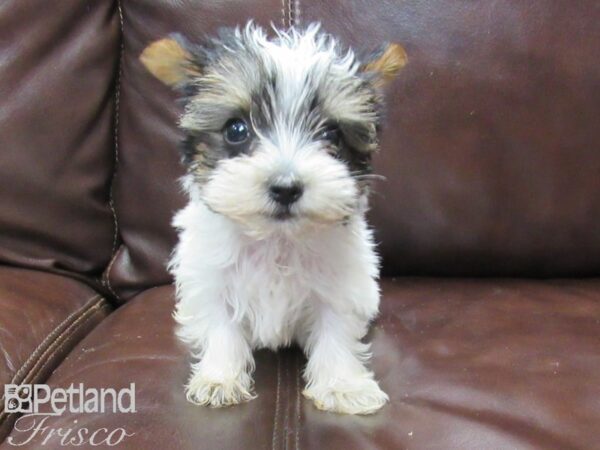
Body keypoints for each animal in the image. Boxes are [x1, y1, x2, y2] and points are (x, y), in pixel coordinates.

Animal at [138, 22, 406, 414]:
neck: (276, 239)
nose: (285, 188)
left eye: (331, 133)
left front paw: (342, 385)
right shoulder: (211, 279)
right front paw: (220, 378)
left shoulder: (341, 285)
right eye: (236, 129)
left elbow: (336, 331)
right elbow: (221, 325)